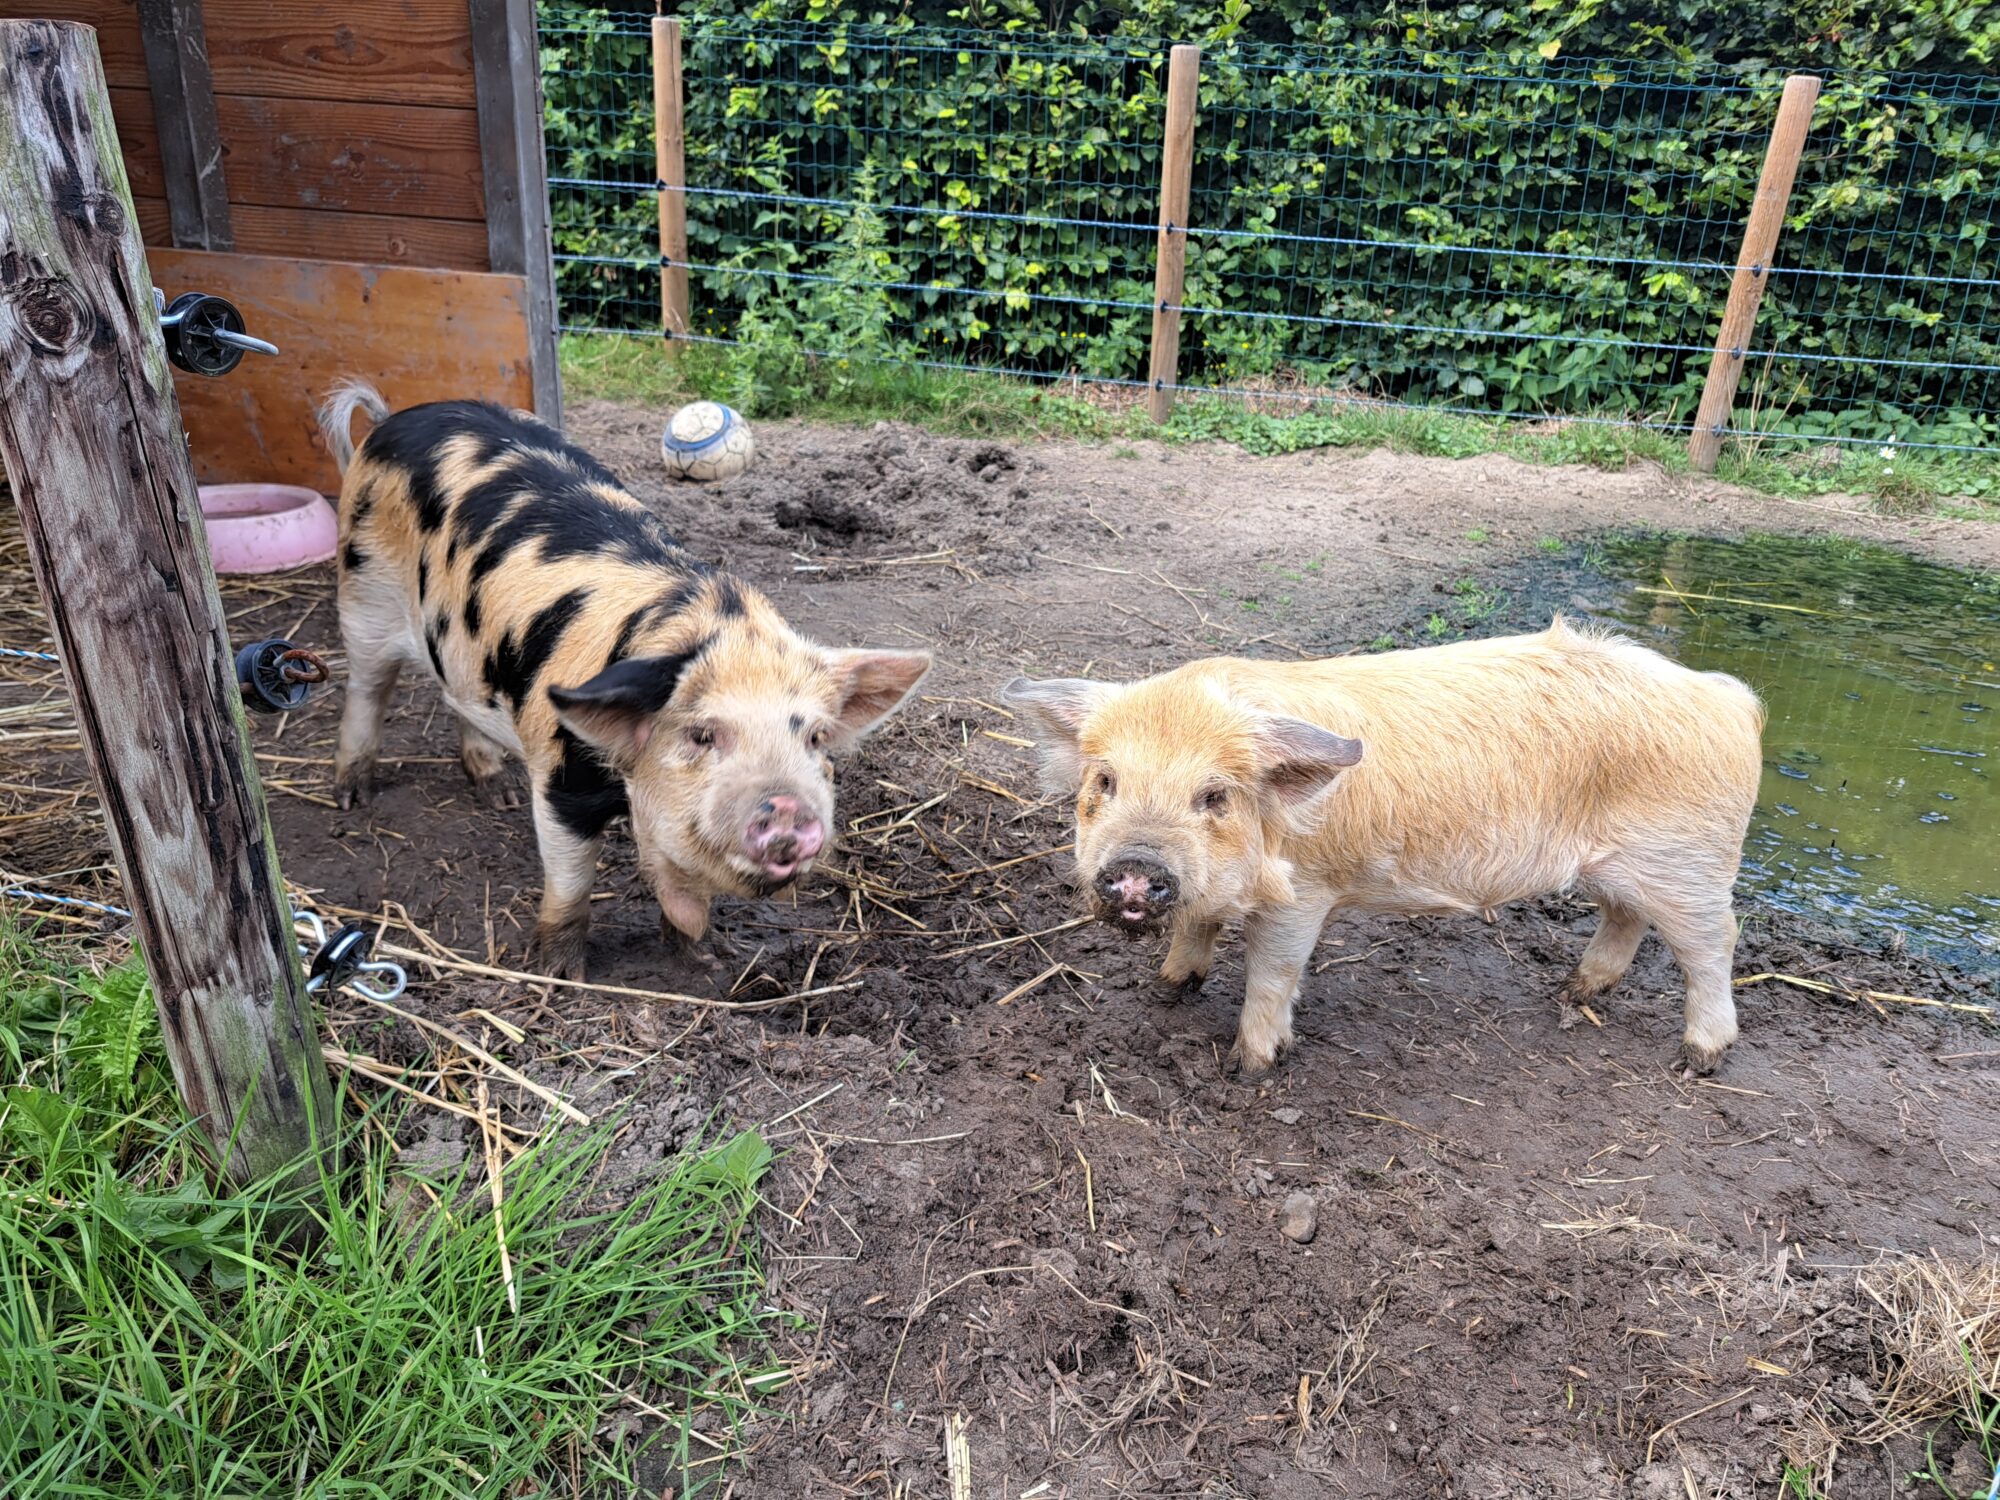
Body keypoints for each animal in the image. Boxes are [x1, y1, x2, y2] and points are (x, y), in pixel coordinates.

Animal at [318, 382, 928, 980]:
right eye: (701, 734)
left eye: (816, 738)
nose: (786, 806)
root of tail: (394, 419)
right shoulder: (562, 781)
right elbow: (572, 882)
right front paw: (563, 975)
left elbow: (686, 889)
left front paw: (707, 955)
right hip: (363, 595)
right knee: (367, 689)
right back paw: (350, 797)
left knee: (458, 697)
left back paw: (499, 793)